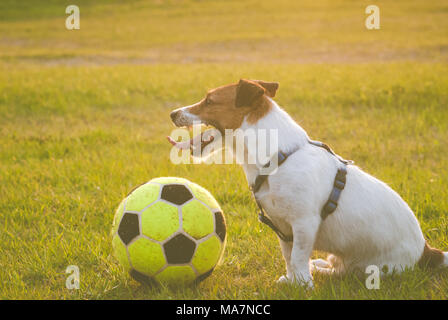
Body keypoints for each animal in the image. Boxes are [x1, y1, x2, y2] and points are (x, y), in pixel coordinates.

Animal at [169, 79, 448, 286]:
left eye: (209, 100)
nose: (172, 113)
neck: (277, 158)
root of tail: (427, 252)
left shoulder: (304, 223)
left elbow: (298, 256)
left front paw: (302, 284)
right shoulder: (282, 227)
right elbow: (289, 256)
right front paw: (292, 280)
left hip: (375, 268)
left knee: (346, 273)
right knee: (337, 267)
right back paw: (321, 265)